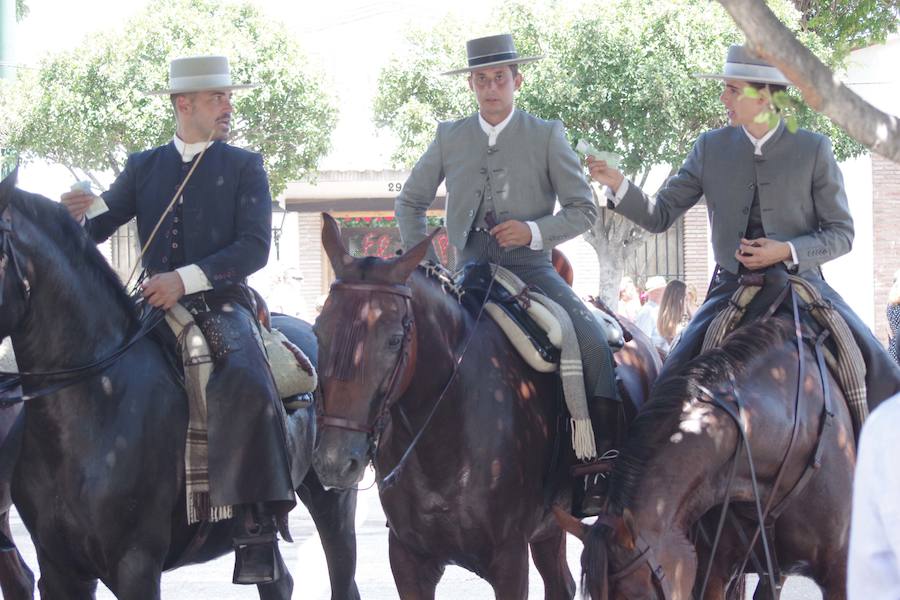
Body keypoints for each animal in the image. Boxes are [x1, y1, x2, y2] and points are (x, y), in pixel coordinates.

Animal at [312, 214, 656, 596]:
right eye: (318, 330)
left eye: (394, 339)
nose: (335, 461)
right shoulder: (407, 559)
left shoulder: (509, 560)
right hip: (551, 526)